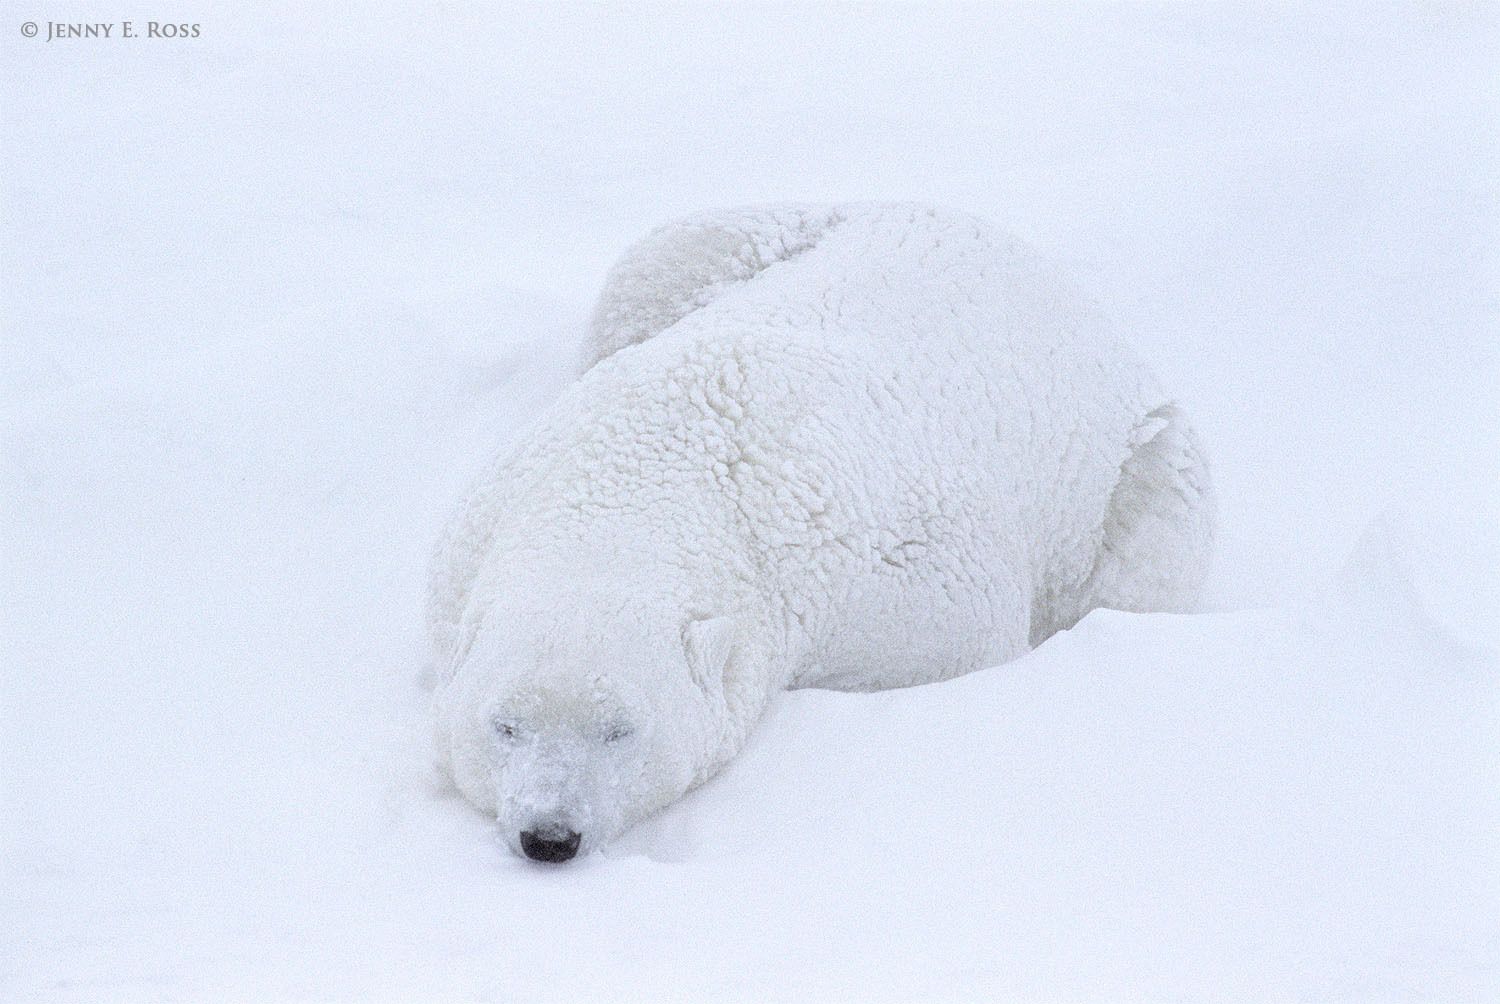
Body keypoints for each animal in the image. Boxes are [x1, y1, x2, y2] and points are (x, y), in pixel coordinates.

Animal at [427, 203, 1214, 862]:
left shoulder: (901, 573)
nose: (549, 835)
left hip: (1138, 472)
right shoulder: (474, 534)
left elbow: (965, 635)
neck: (650, 472)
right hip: (742, 242)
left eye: (621, 729)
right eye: (504, 725)